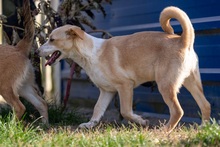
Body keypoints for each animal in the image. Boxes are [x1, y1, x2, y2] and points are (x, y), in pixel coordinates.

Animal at [37, 6, 211, 132]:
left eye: (52, 39)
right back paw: (203, 128)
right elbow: (97, 109)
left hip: (166, 85)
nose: (36, 52)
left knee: (177, 111)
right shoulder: (106, 91)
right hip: (192, 83)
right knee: (205, 105)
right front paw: (90, 124)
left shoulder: (125, 86)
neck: (91, 53)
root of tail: (183, 40)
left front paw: (141, 121)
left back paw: (164, 130)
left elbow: (125, 111)